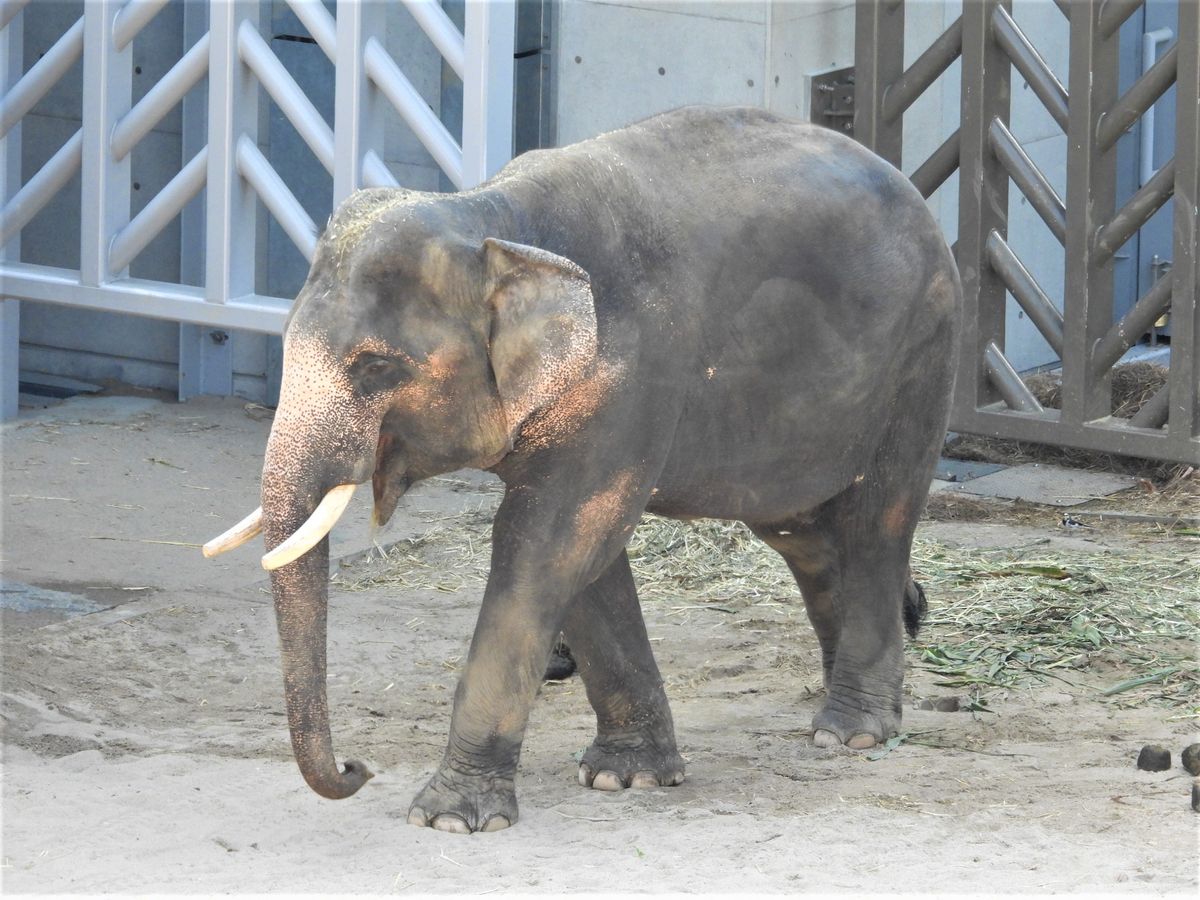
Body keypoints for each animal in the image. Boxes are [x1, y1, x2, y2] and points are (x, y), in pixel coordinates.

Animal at [201, 107, 960, 840]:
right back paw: (864, 676)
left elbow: (549, 540)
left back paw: (853, 733)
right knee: (801, 529)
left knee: (876, 519)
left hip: (922, 355)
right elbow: (583, 556)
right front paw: (628, 778)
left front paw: (448, 818)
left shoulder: (631, 376)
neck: (493, 218)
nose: (357, 767)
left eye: (375, 368)